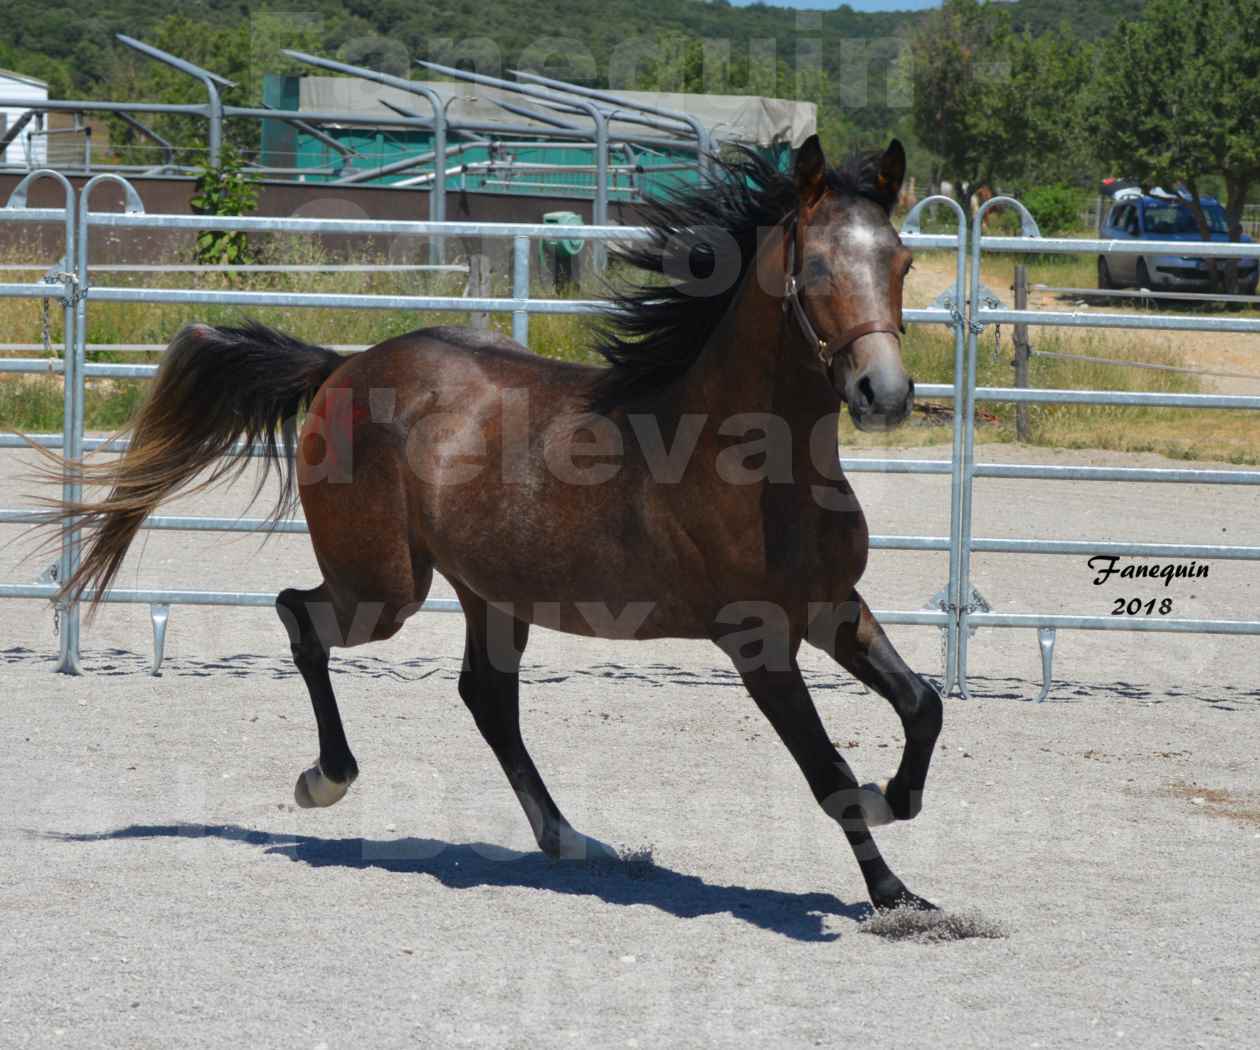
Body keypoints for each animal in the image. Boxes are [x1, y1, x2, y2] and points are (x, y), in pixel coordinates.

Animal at [44, 137, 942, 907]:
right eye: (817, 266)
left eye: (900, 261)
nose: (886, 394)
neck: (745, 459)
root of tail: (344, 367)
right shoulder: (758, 643)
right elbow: (828, 771)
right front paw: (896, 895)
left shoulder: (834, 608)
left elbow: (923, 704)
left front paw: (895, 803)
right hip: (384, 589)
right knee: (299, 614)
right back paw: (326, 780)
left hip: (491, 592)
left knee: (486, 697)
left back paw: (570, 838)